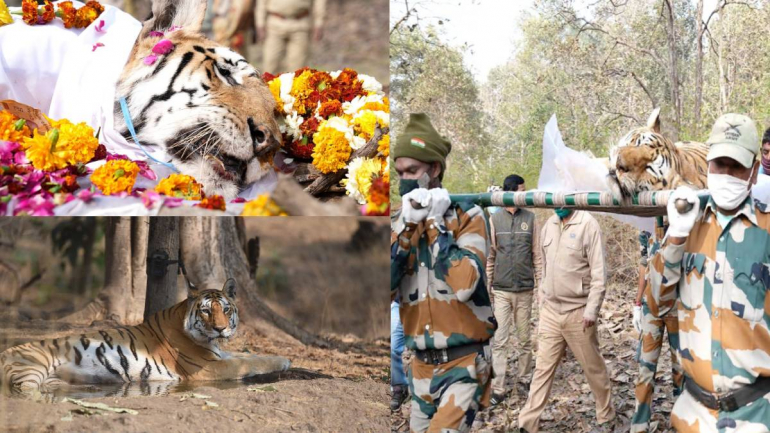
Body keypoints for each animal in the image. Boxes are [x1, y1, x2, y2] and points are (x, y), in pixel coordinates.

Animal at [0, 278, 288, 394]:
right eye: (206, 311)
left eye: (226, 309)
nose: (220, 328)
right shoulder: (209, 368)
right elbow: (246, 363)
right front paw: (284, 361)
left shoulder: (219, 355)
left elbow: (247, 355)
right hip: (33, 366)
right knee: (25, 388)